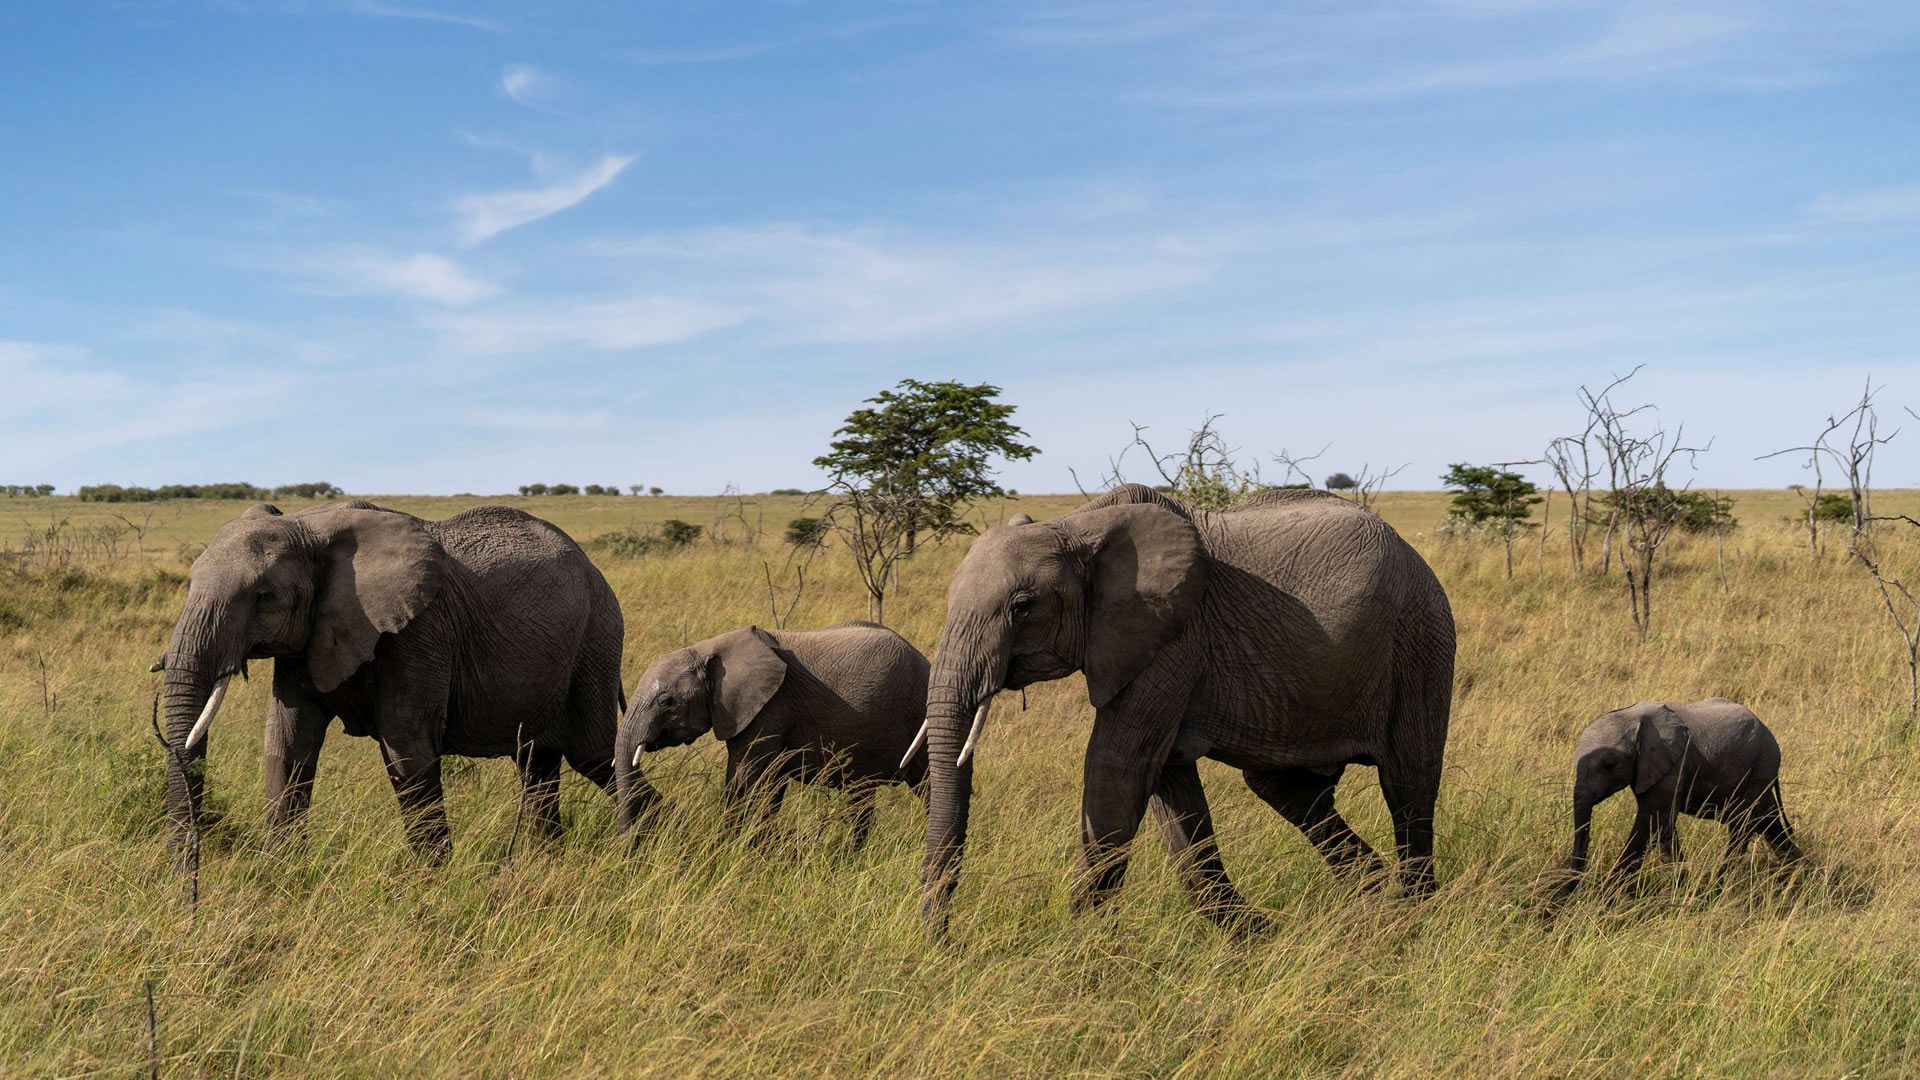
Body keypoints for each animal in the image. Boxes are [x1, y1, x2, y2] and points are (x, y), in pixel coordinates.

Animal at [154, 500, 648, 862]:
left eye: (263, 596)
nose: (188, 887)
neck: (310, 524)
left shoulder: (419, 631)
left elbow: (406, 748)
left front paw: (433, 886)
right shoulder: (308, 641)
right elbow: (288, 747)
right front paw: (282, 877)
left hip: (596, 642)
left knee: (595, 752)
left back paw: (649, 845)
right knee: (537, 765)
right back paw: (547, 862)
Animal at [619, 621, 928, 849]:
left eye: (666, 702)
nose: (632, 844)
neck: (710, 648)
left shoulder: (771, 707)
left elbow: (744, 780)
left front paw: (726, 849)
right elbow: (770, 786)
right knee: (861, 799)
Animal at [913, 484, 1455, 933]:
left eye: (1023, 606)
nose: (942, 941)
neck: (1077, 525)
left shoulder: (1172, 637)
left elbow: (1118, 767)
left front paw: (1076, 952)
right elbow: (1169, 788)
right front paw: (1255, 939)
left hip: (1420, 639)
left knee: (1407, 783)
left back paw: (1414, 913)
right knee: (1285, 788)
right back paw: (1373, 893)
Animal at [1563, 698, 1800, 891]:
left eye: (1609, 765)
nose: (1573, 889)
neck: (1631, 717)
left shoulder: (1673, 763)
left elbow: (1653, 819)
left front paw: (1606, 896)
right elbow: (1664, 824)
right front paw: (1678, 883)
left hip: (1761, 765)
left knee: (1742, 824)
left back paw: (1719, 887)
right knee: (1767, 821)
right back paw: (1799, 873)